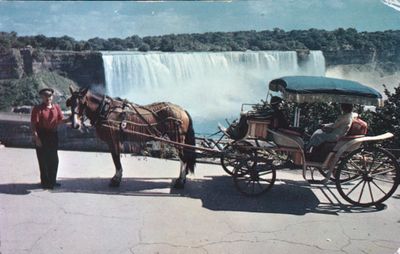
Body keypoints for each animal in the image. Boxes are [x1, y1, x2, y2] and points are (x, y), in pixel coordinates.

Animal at [67, 87, 197, 189]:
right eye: (70, 102)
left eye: (82, 103)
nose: (75, 125)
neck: (106, 110)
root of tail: (182, 110)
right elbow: (116, 159)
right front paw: (117, 177)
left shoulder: (113, 140)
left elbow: (116, 159)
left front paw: (116, 179)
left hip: (177, 138)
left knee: (183, 158)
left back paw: (180, 182)